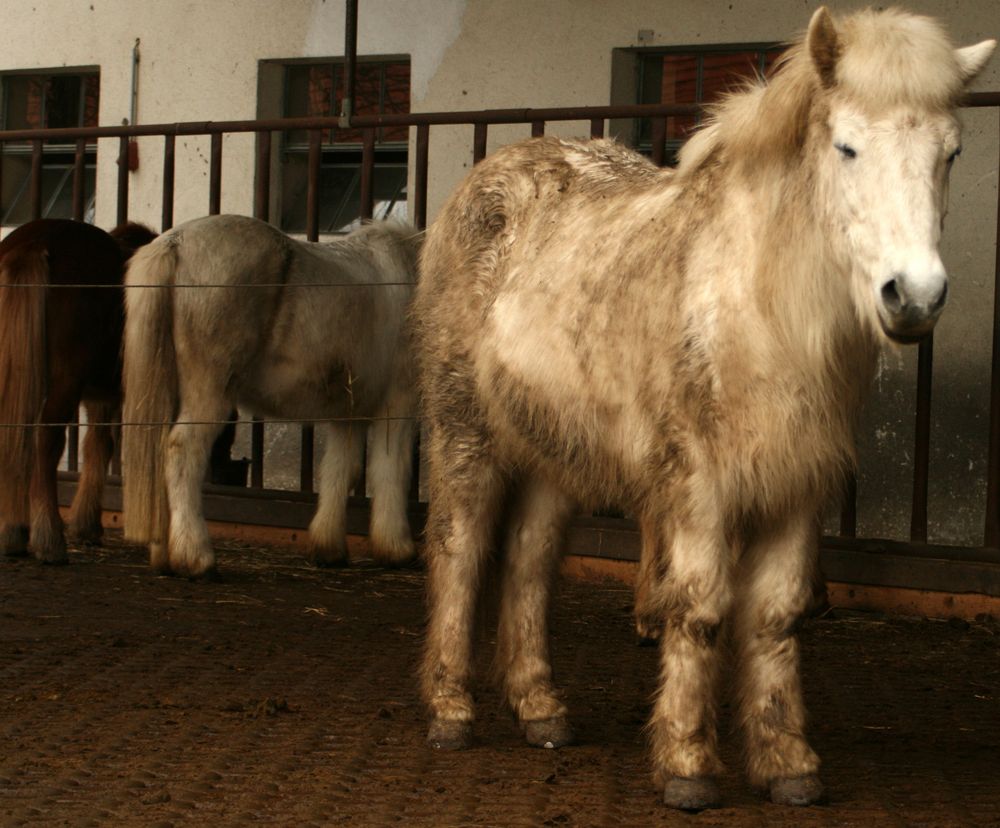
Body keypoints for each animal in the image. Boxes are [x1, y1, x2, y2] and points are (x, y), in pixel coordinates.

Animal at [123, 213, 420, 576]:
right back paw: (195, 556)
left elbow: (340, 470)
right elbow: (391, 470)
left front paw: (328, 547)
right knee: (183, 452)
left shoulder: (348, 411)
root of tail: (174, 243)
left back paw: (165, 554)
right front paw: (397, 548)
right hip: (209, 393)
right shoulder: (398, 405)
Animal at [414, 4, 992, 808]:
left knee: (529, 561)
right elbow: (700, 608)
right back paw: (449, 710)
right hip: (464, 428)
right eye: (846, 146)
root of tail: (482, 181)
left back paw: (540, 709)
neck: (760, 305)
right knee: (459, 550)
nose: (914, 296)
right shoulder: (699, 487)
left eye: (951, 153)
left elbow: (776, 616)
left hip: (553, 450)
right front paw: (688, 764)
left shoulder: (797, 486)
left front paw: (788, 764)